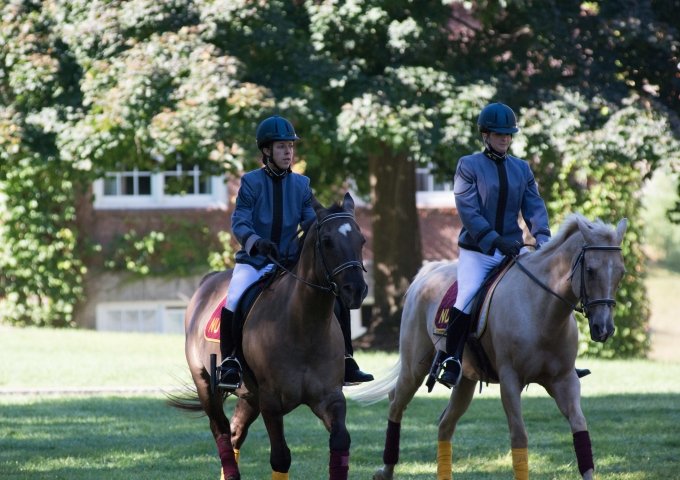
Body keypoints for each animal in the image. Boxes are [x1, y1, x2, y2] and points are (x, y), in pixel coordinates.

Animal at [173, 193, 370, 478]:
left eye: (361, 240)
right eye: (327, 241)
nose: (355, 290)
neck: (304, 327)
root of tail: (206, 283)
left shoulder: (329, 398)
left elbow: (340, 441)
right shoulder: (272, 403)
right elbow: (280, 457)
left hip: (249, 397)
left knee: (235, 432)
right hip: (205, 383)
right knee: (221, 431)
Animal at [350, 215, 628, 480]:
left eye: (621, 273)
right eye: (590, 270)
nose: (604, 329)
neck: (541, 310)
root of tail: (428, 272)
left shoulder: (564, 380)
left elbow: (580, 427)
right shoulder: (510, 380)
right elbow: (519, 436)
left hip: (465, 380)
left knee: (445, 424)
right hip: (413, 368)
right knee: (396, 403)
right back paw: (385, 470)